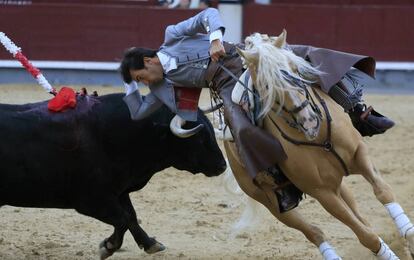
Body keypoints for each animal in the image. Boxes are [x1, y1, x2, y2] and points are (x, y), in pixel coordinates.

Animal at [0, 93, 226, 258]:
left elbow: (131, 216)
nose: (223, 166)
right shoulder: (92, 200)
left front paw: (151, 244)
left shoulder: (118, 191)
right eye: (199, 137)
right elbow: (123, 219)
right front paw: (108, 246)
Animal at [223, 30, 414, 258]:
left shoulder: (359, 154)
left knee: (360, 217)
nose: (309, 120)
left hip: (339, 185)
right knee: (315, 232)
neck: (319, 137)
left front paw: (410, 236)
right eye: (267, 85)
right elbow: (364, 235)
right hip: (271, 202)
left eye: (295, 69)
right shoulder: (321, 192)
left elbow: (383, 192)